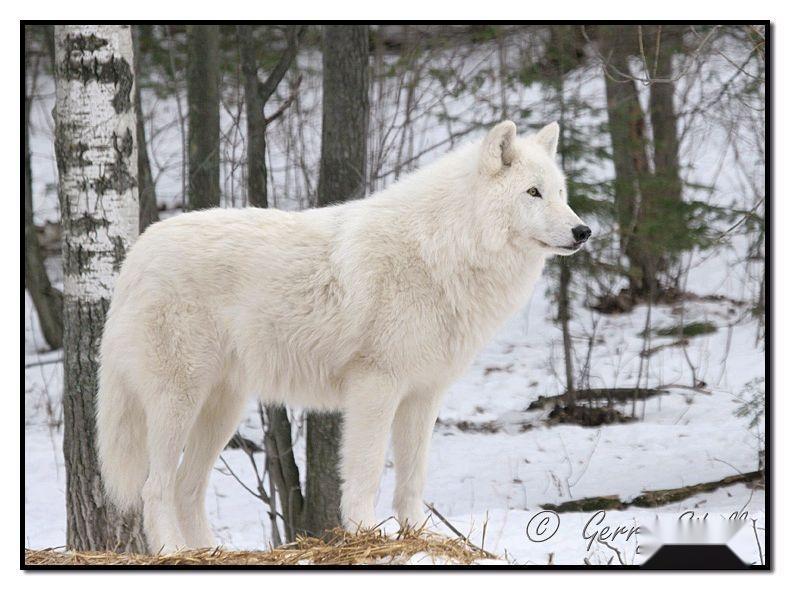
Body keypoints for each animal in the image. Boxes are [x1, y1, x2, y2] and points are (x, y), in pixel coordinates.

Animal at [96, 121, 592, 556]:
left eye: (560, 193)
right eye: (532, 192)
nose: (584, 231)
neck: (441, 248)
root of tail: (138, 251)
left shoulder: (424, 393)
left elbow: (412, 477)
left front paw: (419, 536)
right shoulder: (376, 386)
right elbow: (367, 470)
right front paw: (365, 533)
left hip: (222, 408)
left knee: (186, 487)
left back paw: (211, 552)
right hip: (178, 403)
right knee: (155, 488)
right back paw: (172, 551)